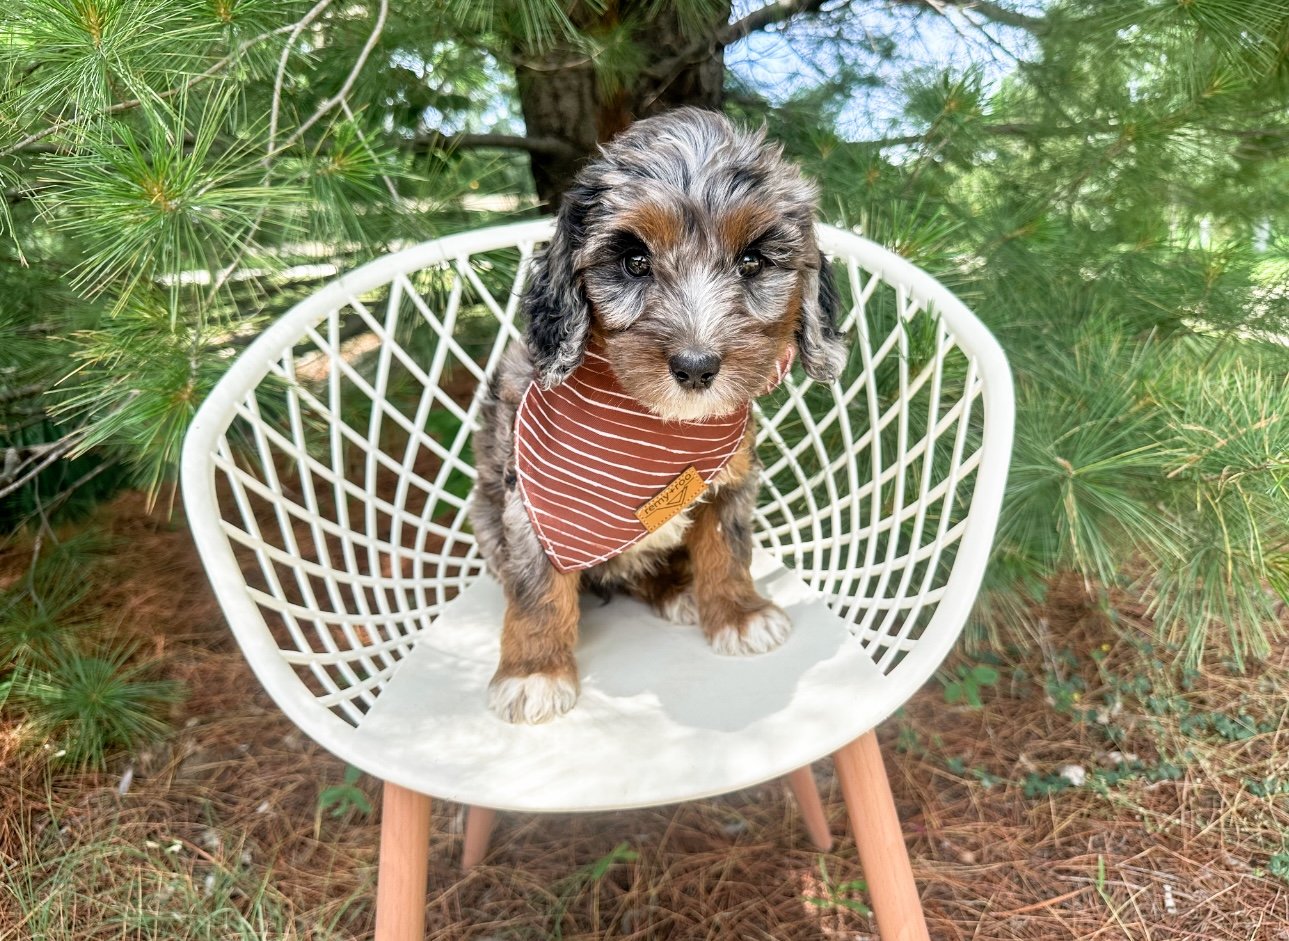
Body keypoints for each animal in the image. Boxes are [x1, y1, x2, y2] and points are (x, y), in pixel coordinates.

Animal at [469, 111, 850, 727]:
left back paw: (678, 587)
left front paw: (738, 612)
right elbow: (537, 589)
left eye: (752, 261)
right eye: (634, 262)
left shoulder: (730, 480)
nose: (696, 367)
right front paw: (534, 671)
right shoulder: (531, 506)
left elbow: (728, 549)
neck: (657, 427)